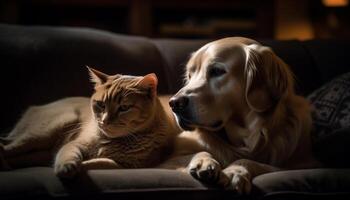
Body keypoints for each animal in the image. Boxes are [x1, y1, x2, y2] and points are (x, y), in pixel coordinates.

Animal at [0, 67, 179, 178]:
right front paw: (67, 165)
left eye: (124, 108)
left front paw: (82, 165)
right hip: (46, 130)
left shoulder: (131, 165)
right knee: (6, 145)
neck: (111, 142)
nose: (105, 120)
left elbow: (103, 163)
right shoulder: (75, 143)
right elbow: (68, 153)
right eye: (101, 104)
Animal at [164, 37, 318, 194]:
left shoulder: (302, 164)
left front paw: (234, 171)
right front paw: (203, 161)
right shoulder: (170, 161)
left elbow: (254, 162)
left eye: (217, 71)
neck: (245, 138)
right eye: (190, 75)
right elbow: (195, 152)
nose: (174, 103)